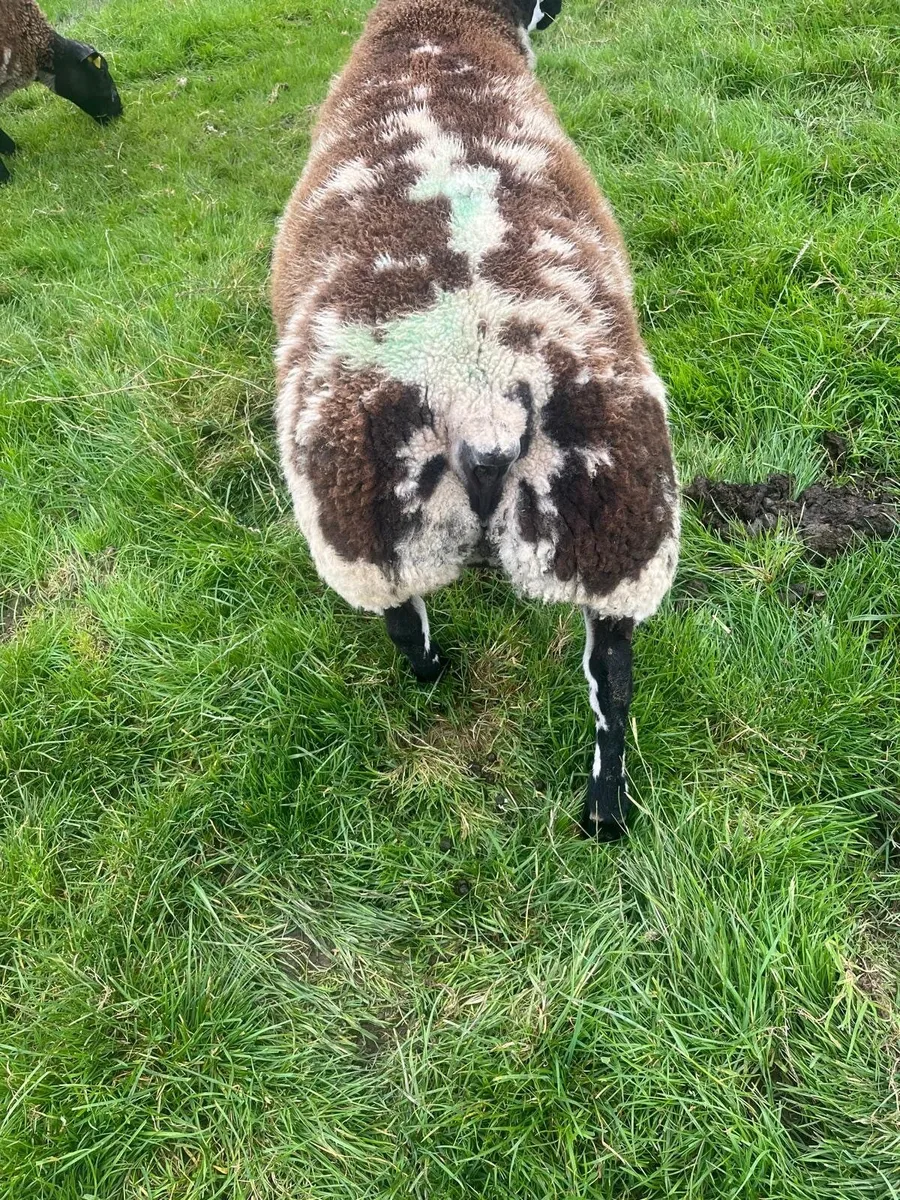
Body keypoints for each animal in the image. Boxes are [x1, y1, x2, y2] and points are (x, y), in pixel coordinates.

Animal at [271, 0, 679, 840]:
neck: (435, 32)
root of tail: (483, 395)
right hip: (618, 528)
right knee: (612, 680)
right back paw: (604, 810)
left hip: (369, 533)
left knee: (410, 630)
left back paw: (443, 682)